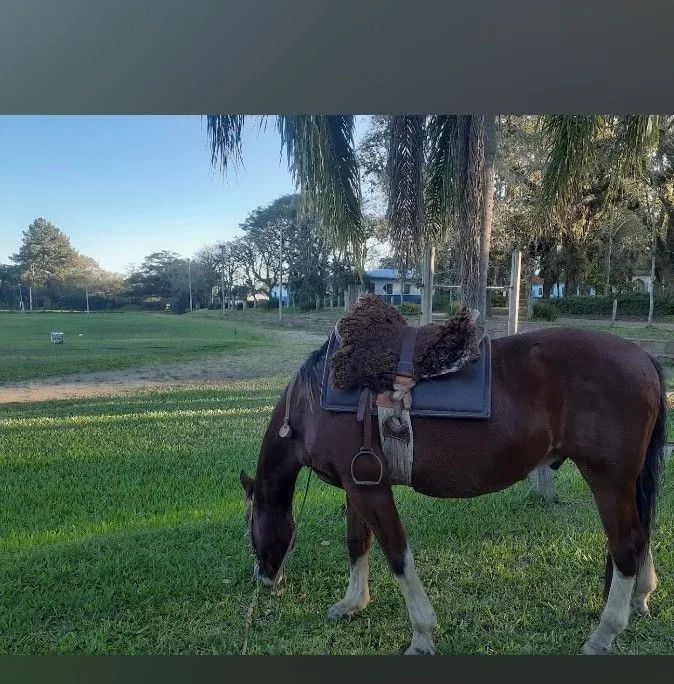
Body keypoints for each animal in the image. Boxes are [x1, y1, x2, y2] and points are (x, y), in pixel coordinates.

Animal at [240, 327, 666, 655]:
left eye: (249, 528)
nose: (264, 578)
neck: (314, 401)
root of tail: (643, 356)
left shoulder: (371, 490)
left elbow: (397, 554)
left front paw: (422, 634)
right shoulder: (355, 486)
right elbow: (357, 543)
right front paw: (351, 604)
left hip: (608, 481)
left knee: (626, 545)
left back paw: (604, 634)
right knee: (641, 534)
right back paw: (641, 597)